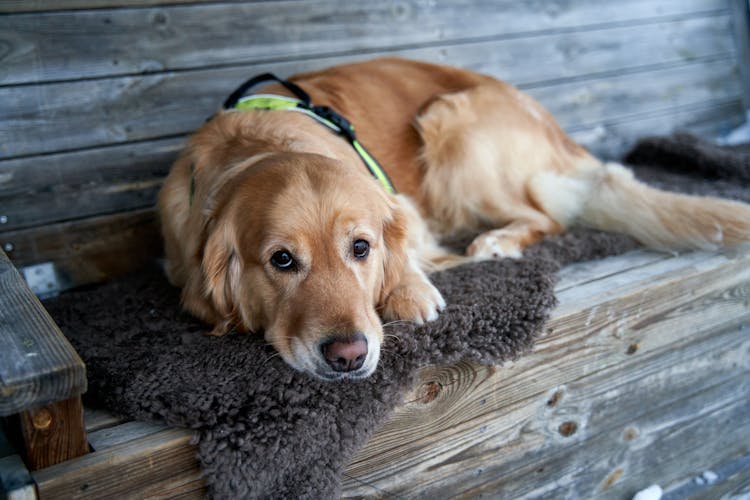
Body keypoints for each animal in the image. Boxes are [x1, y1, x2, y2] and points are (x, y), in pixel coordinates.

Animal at [159, 56, 750, 380]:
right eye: (281, 261)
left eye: (361, 248)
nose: (348, 355)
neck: (258, 142)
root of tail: (557, 132)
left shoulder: (403, 205)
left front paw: (412, 288)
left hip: (454, 128)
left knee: (546, 217)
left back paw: (494, 243)